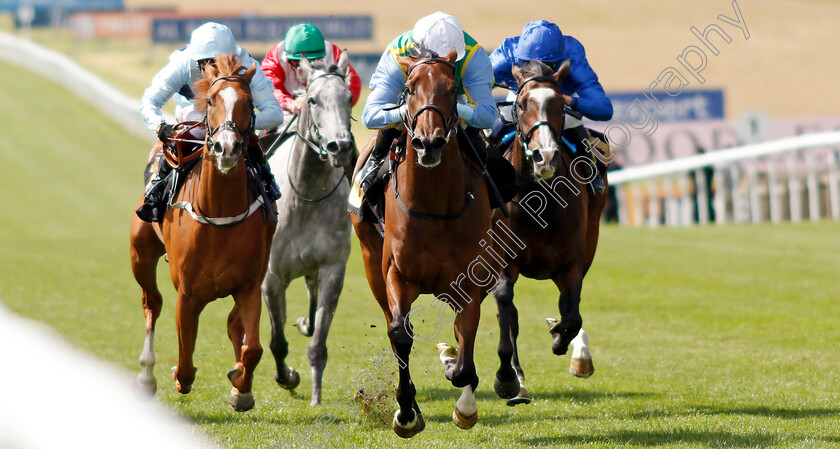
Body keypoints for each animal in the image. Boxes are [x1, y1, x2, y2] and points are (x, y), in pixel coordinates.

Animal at [130, 54, 276, 412]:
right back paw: (146, 374)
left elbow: (253, 347)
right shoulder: (187, 293)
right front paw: (179, 377)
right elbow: (184, 361)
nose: (227, 148)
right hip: (140, 253)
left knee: (235, 325)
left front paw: (241, 387)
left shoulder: (249, 285)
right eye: (210, 100)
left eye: (249, 102)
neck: (219, 213)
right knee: (152, 303)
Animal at [262, 50, 354, 404]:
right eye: (313, 100)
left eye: (349, 98)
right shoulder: (272, 277)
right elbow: (276, 341)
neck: (306, 197)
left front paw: (316, 395)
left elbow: (319, 340)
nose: (340, 146)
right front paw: (287, 377)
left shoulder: (332, 269)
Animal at [348, 47, 498, 436]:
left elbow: (465, 349)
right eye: (409, 88)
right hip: (372, 266)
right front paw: (406, 412)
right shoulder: (397, 275)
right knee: (393, 325)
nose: (428, 143)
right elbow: (400, 334)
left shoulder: (470, 282)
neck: (435, 207)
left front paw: (464, 403)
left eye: (451, 88)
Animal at [488, 57, 608, 404]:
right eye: (522, 103)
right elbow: (506, 306)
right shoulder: (502, 262)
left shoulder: (571, 264)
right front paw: (506, 378)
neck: (537, 202)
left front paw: (562, 340)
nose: (546, 157)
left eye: (559, 103)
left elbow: (571, 315)